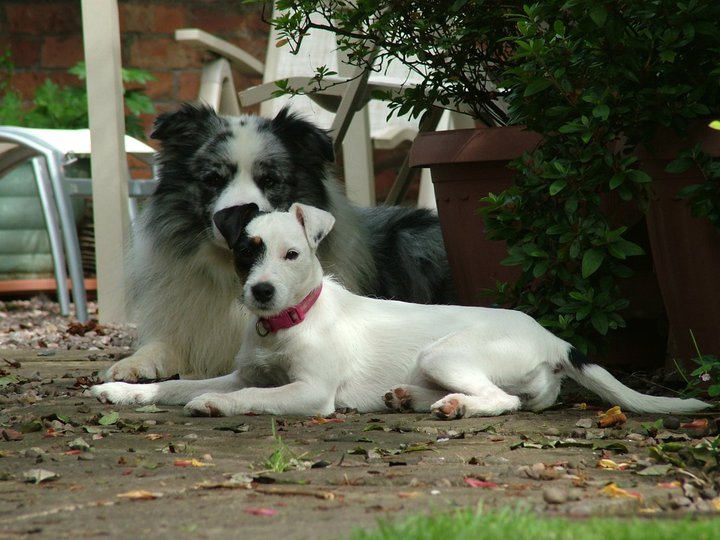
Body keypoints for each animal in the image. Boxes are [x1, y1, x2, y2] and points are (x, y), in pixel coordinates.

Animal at [91, 202, 716, 418]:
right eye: (248, 251)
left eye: (293, 254)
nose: (262, 292)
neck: (289, 323)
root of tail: (554, 339)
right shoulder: (247, 369)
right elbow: (176, 384)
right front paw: (123, 391)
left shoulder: (310, 393)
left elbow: (249, 397)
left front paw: (216, 404)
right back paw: (410, 398)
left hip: (447, 351)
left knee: (506, 400)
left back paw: (455, 407)